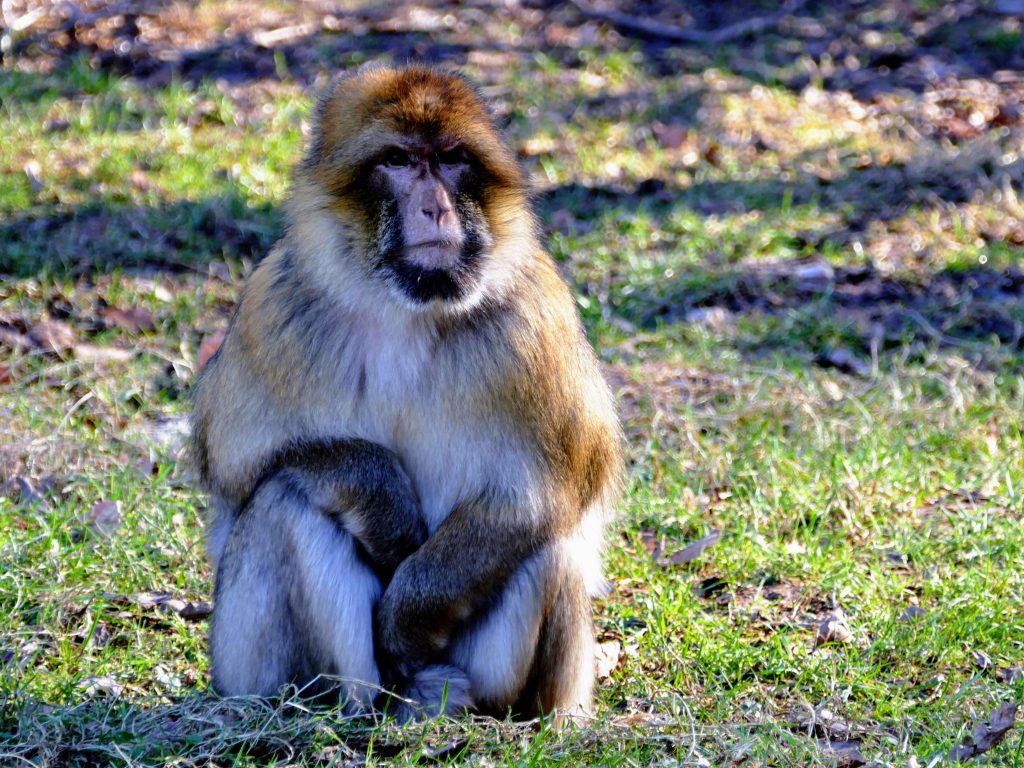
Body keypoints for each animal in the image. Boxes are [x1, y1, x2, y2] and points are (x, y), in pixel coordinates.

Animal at [190, 62, 623, 720]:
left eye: (451, 160)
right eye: (397, 160)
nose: (434, 207)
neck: (407, 308)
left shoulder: (533, 321)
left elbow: (536, 496)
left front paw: (406, 618)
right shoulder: (276, 309)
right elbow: (238, 461)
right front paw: (385, 501)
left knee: (547, 540)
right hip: (247, 667)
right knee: (285, 498)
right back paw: (350, 705)